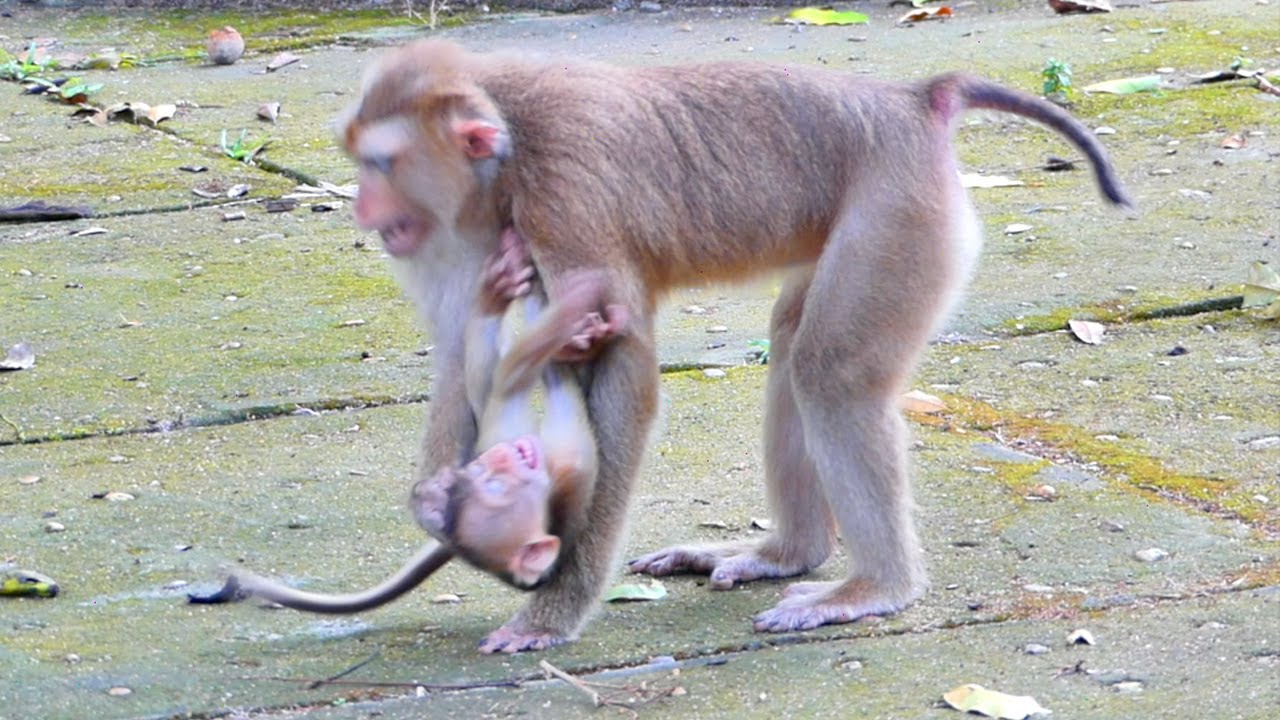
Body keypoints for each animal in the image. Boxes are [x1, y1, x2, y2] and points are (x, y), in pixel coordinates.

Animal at [340, 40, 1130, 652]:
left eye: (379, 164)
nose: (361, 206)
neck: (506, 155)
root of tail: (913, 101)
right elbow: (460, 354)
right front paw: (441, 504)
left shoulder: (566, 201)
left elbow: (622, 378)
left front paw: (556, 606)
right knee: (792, 345)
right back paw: (788, 553)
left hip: (901, 214)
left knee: (831, 372)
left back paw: (875, 587)